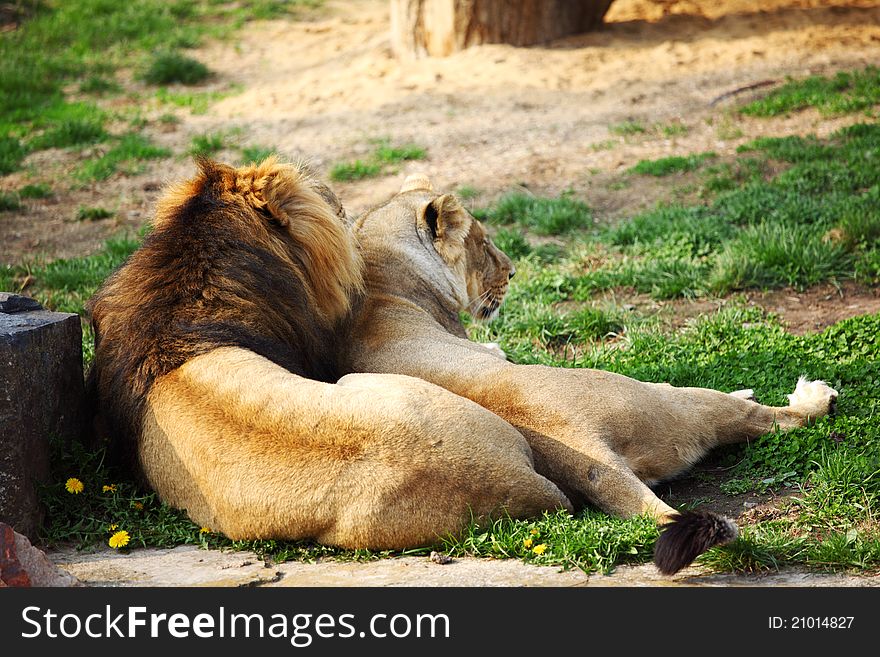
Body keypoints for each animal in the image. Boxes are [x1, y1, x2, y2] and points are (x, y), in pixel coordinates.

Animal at [346, 176, 840, 576]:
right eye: (484, 245)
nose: (513, 271)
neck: (386, 278)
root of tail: (585, 448)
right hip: (671, 405)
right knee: (759, 417)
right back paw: (814, 398)